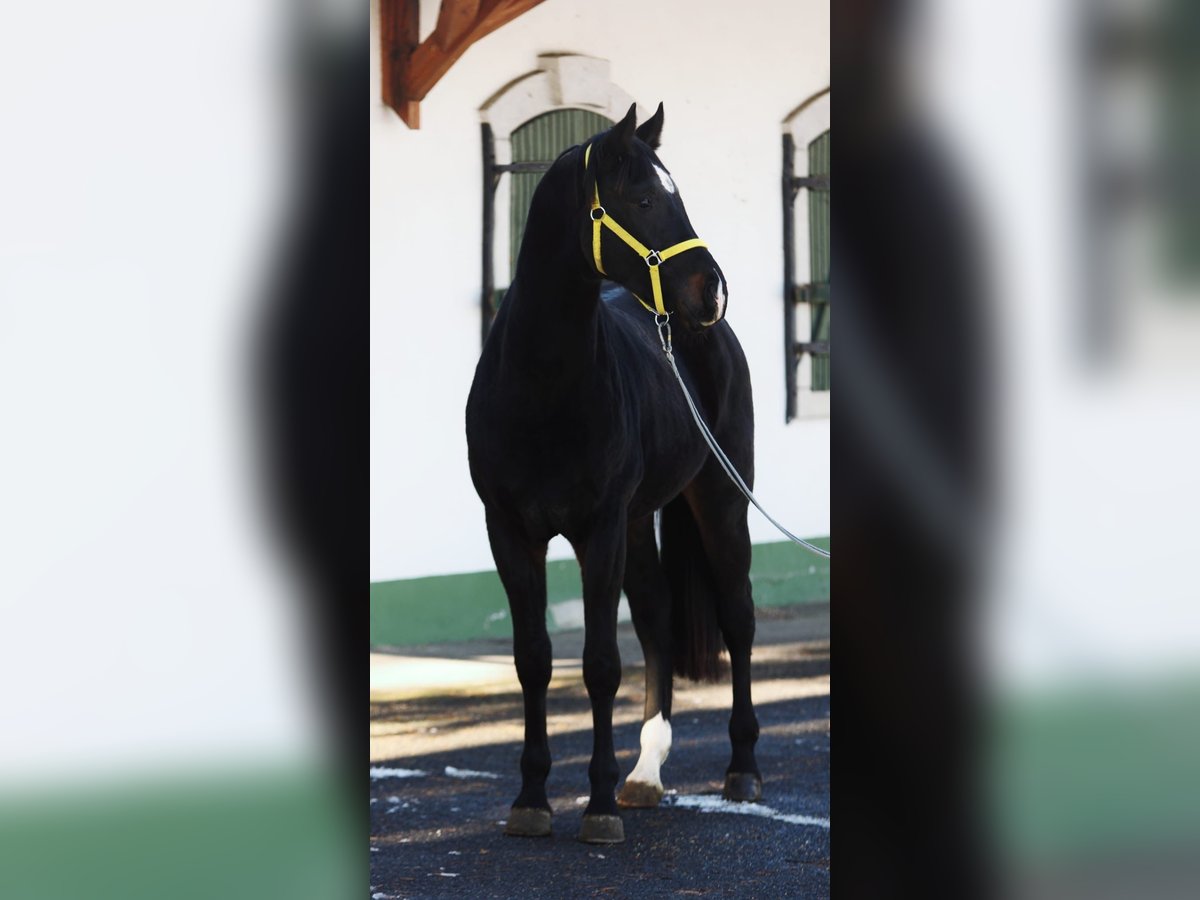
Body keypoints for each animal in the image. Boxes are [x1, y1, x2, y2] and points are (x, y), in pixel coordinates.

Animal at [465, 103, 758, 844]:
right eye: (645, 199)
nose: (713, 290)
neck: (541, 387)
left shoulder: (596, 530)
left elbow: (600, 664)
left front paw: (595, 807)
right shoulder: (510, 532)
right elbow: (534, 659)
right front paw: (532, 799)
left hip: (721, 500)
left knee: (738, 619)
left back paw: (742, 768)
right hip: (638, 520)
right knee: (656, 621)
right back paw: (645, 774)